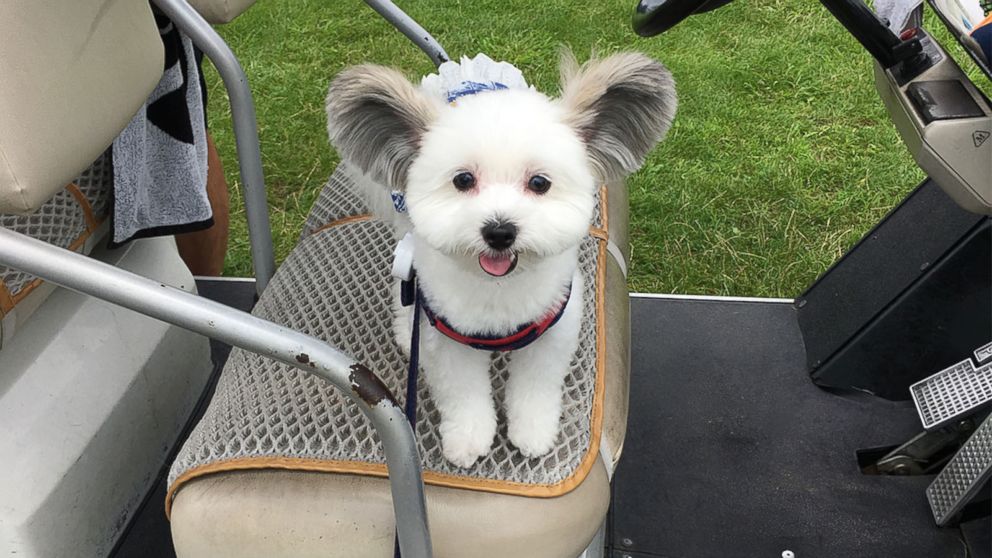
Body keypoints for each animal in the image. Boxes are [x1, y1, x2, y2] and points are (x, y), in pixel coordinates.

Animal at [330, 50, 680, 468]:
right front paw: (467, 439)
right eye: (463, 180)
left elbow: (536, 388)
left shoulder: (554, 330)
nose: (499, 231)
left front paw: (533, 433)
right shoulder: (449, 343)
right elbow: (463, 395)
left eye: (539, 183)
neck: (499, 290)